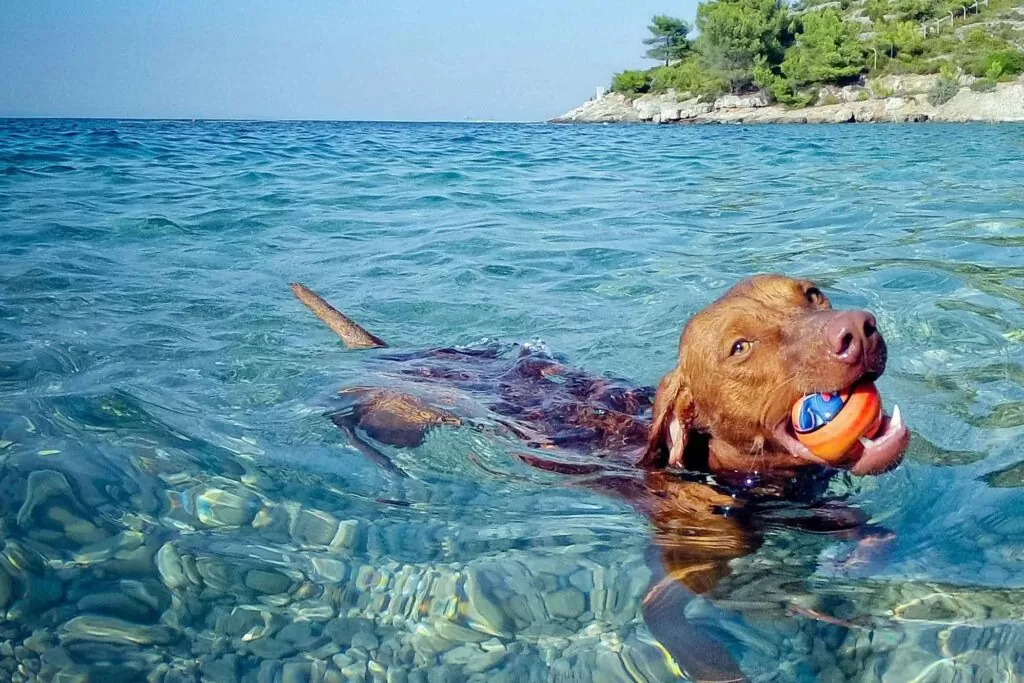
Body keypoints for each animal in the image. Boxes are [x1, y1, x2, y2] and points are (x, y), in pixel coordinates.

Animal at [292, 276, 909, 683]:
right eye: (739, 347)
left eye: (812, 294)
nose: (859, 329)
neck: (750, 484)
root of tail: (406, 350)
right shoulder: (669, 590)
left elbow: (860, 531)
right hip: (407, 421)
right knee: (355, 418)